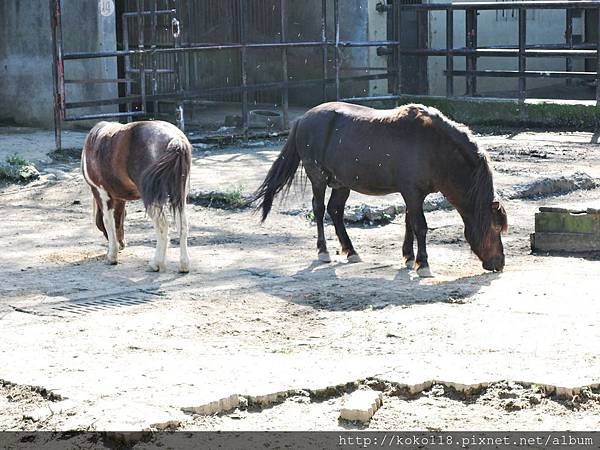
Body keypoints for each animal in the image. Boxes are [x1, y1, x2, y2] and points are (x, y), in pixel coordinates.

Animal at [82, 119, 192, 272]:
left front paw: (112, 256)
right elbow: (117, 219)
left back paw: (156, 264)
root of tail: (175, 139)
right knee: (182, 225)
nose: (122, 244)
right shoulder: (119, 196)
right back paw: (184, 265)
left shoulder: (101, 192)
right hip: (179, 195)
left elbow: (108, 221)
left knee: (162, 225)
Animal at [253, 103, 506, 276]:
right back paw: (323, 252)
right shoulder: (412, 193)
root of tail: (302, 119)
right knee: (319, 209)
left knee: (335, 210)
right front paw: (423, 264)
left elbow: (409, 223)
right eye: (495, 228)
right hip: (318, 178)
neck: (435, 146)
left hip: (342, 183)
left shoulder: (413, 195)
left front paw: (408, 257)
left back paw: (351, 251)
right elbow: (420, 226)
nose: (500, 263)